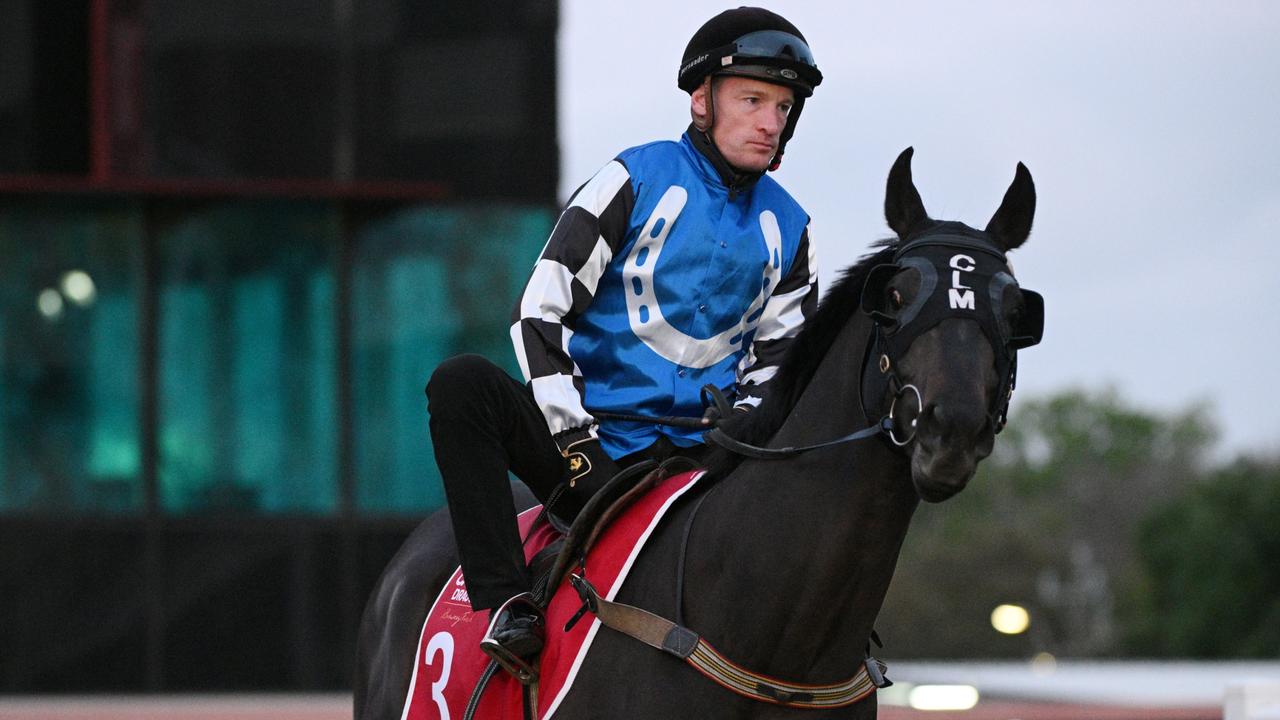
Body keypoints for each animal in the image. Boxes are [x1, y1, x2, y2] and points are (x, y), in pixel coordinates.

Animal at [355, 147, 1044, 717]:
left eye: (1015, 310)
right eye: (896, 296)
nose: (950, 430)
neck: (777, 644)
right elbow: (543, 308)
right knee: (460, 382)